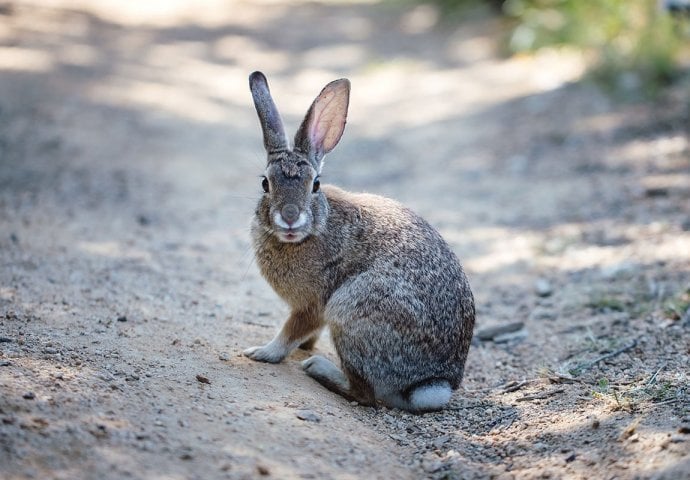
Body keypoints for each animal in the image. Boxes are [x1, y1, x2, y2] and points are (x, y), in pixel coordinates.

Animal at [242, 71, 472, 412]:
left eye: (315, 185)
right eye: (265, 183)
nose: (290, 217)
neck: (315, 228)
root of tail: (432, 383)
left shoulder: (314, 303)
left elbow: (291, 331)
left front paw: (261, 353)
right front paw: (305, 346)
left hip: (350, 309)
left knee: (365, 394)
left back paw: (319, 369)